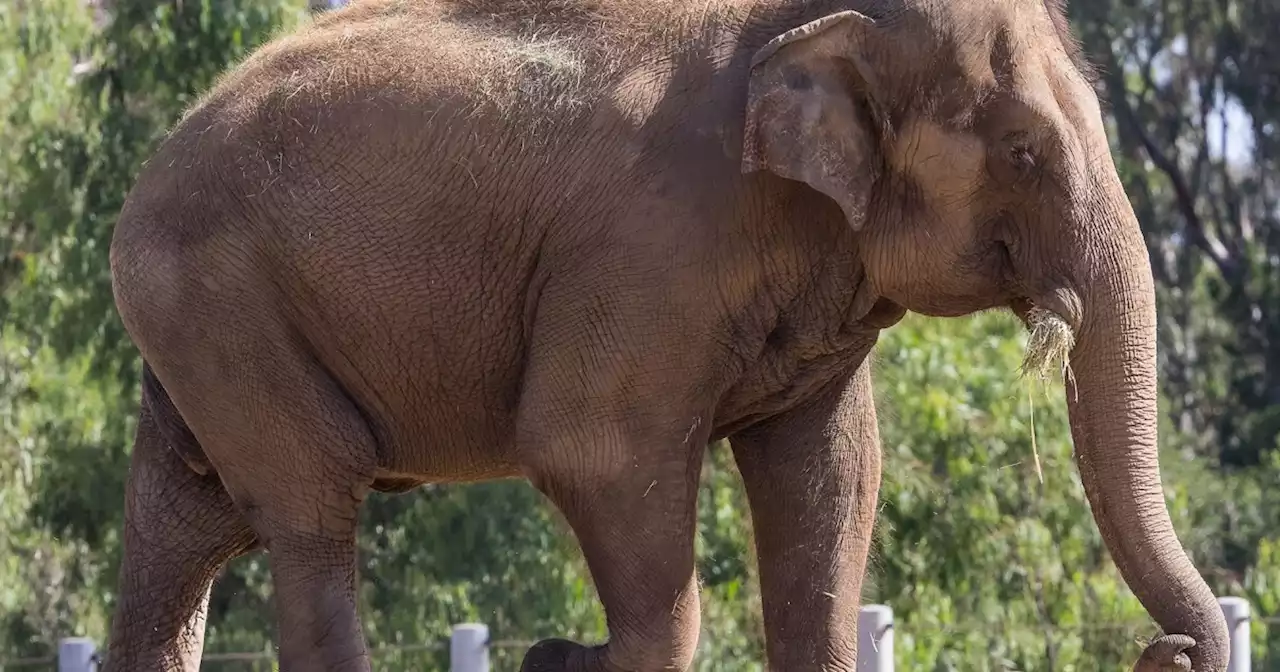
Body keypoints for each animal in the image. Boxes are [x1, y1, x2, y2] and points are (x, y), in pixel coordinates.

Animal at [107, 0, 1228, 665]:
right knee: (311, 511)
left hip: (202, 328)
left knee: (184, 531)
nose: (1166, 650)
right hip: (220, 304)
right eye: (1023, 149)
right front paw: (574, 655)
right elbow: (594, 454)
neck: (805, 21)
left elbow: (830, 480)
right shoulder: (645, 253)